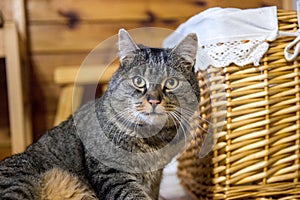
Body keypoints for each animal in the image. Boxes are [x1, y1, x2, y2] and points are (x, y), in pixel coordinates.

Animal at [0, 28, 199, 200]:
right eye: (138, 81)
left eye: (171, 82)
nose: (154, 100)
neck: (153, 141)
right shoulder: (111, 173)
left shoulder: (155, 180)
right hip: (19, 183)